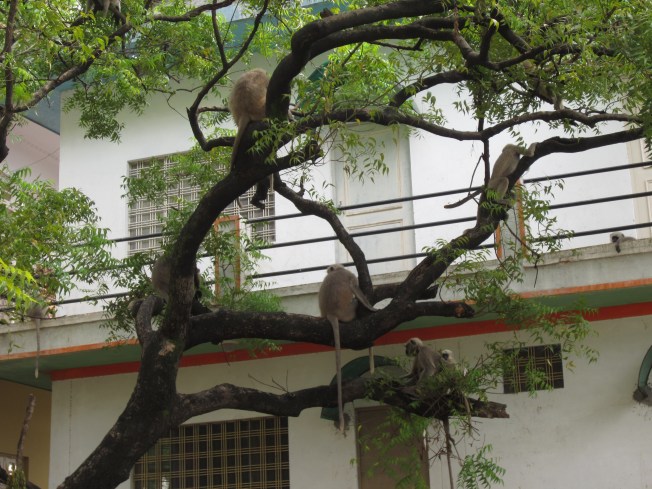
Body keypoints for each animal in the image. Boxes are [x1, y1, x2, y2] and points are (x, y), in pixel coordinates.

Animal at [318, 264, 378, 431]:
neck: (338, 270)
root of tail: (331, 314)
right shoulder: (349, 275)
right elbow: (355, 287)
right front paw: (372, 308)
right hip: (349, 311)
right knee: (356, 301)